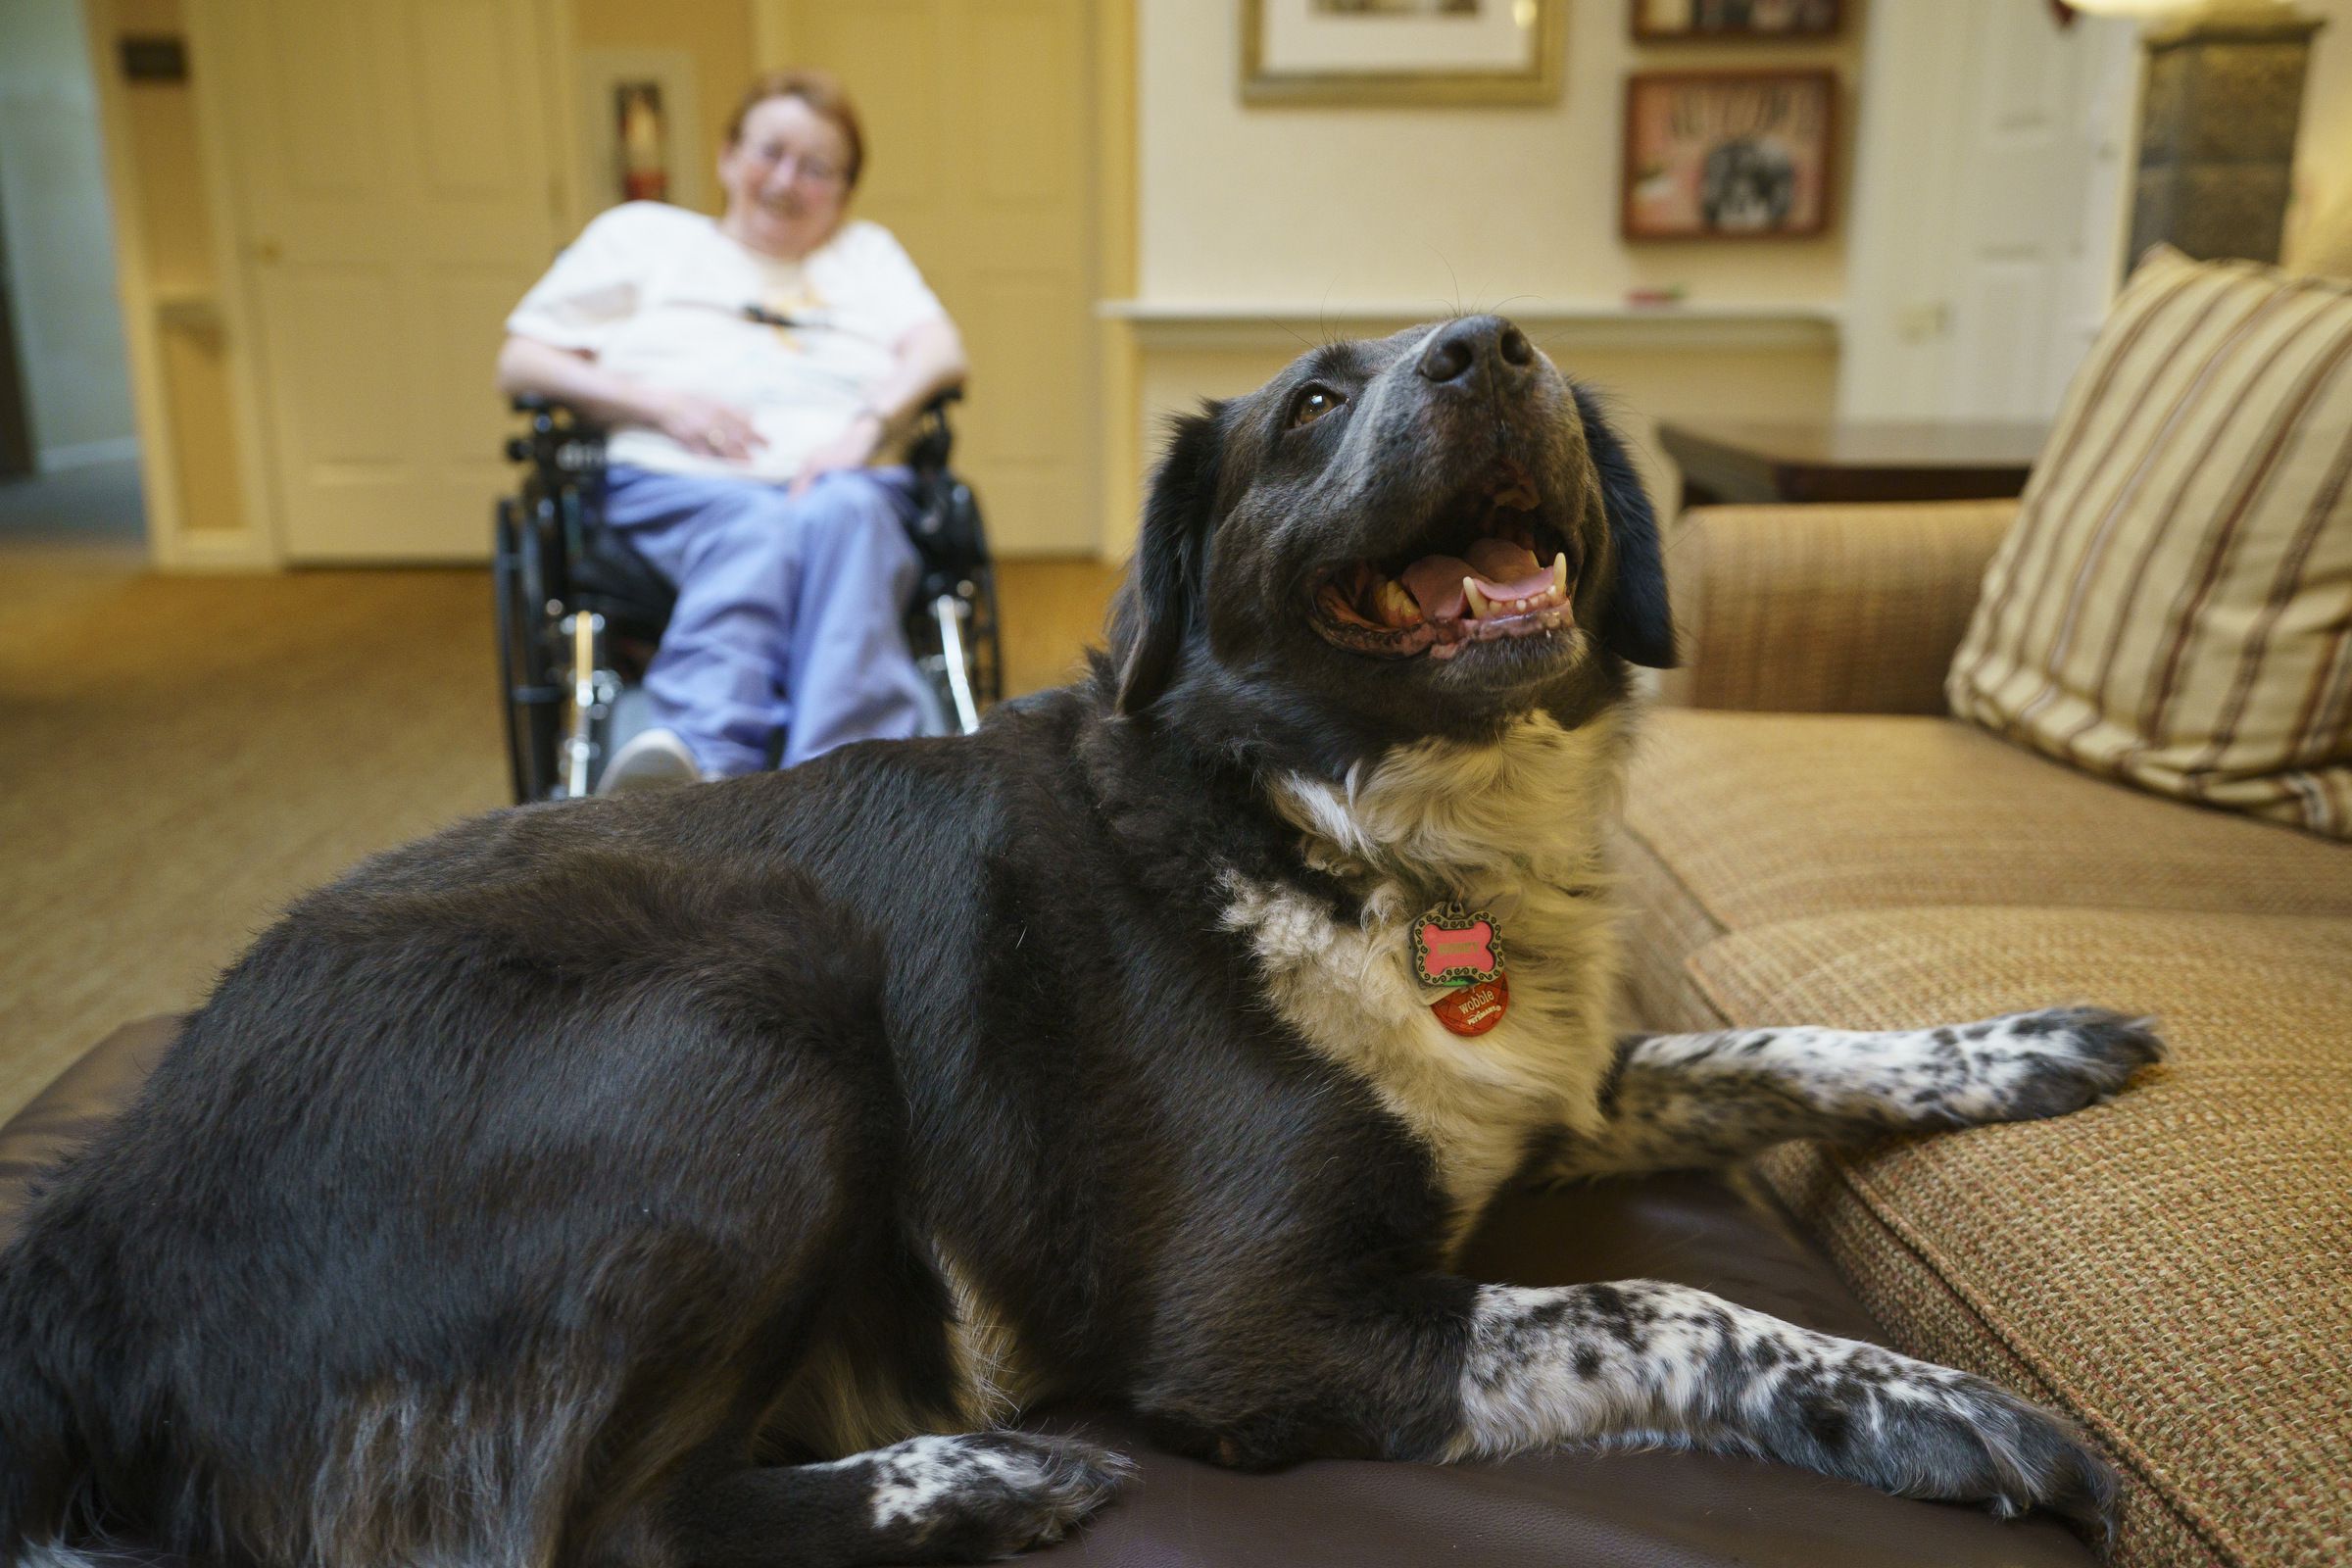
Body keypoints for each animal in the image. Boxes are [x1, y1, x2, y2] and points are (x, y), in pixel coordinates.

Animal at [0, 313, 2154, 1560]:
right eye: (1311, 404)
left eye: (1509, 359)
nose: (1492, 346)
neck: (1341, 827)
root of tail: (84, 1238)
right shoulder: (1270, 1326)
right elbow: (1669, 1300)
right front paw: (1929, 1402)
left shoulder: (1549, 1089)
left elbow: (1757, 1049)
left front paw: (2023, 1047)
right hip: (748, 1004)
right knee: (576, 1534)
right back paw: (975, 1480)